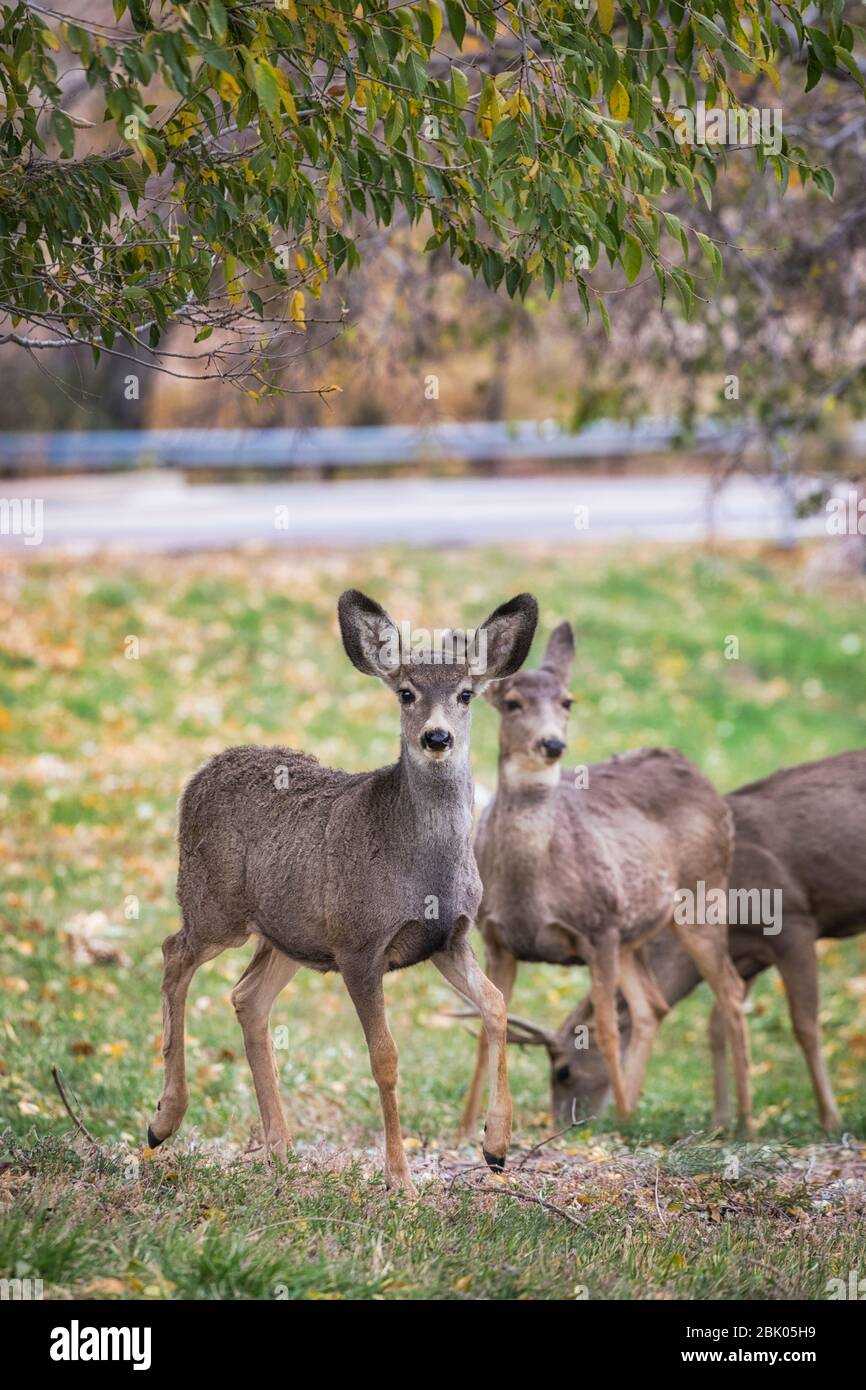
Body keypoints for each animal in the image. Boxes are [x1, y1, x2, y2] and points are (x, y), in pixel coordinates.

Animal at [148, 586, 542, 1195]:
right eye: (406, 692)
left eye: (465, 694)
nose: (436, 737)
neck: (423, 867)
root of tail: (203, 771)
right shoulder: (360, 945)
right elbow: (385, 1058)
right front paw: (399, 1179)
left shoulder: (448, 939)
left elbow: (496, 1005)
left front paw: (496, 1146)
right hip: (213, 903)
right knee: (173, 955)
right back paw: (164, 1120)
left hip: (289, 934)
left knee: (247, 996)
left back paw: (279, 1149)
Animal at [461, 619, 750, 1139]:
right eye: (512, 702)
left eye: (567, 701)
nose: (552, 744)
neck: (531, 885)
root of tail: (695, 769)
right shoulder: (498, 939)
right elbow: (488, 1028)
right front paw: (465, 1129)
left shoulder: (599, 930)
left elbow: (608, 1030)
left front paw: (598, 1131)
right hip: (636, 930)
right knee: (651, 1006)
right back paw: (629, 1112)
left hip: (702, 897)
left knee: (730, 991)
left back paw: (745, 1123)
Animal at [500, 756, 866, 1134]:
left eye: (564, 1072)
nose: (563, 1125)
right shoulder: (746, 955)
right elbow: (716, 1027)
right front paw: (722, 1120)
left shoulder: (794, 924)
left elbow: (805, 1025)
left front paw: (830, 1119)